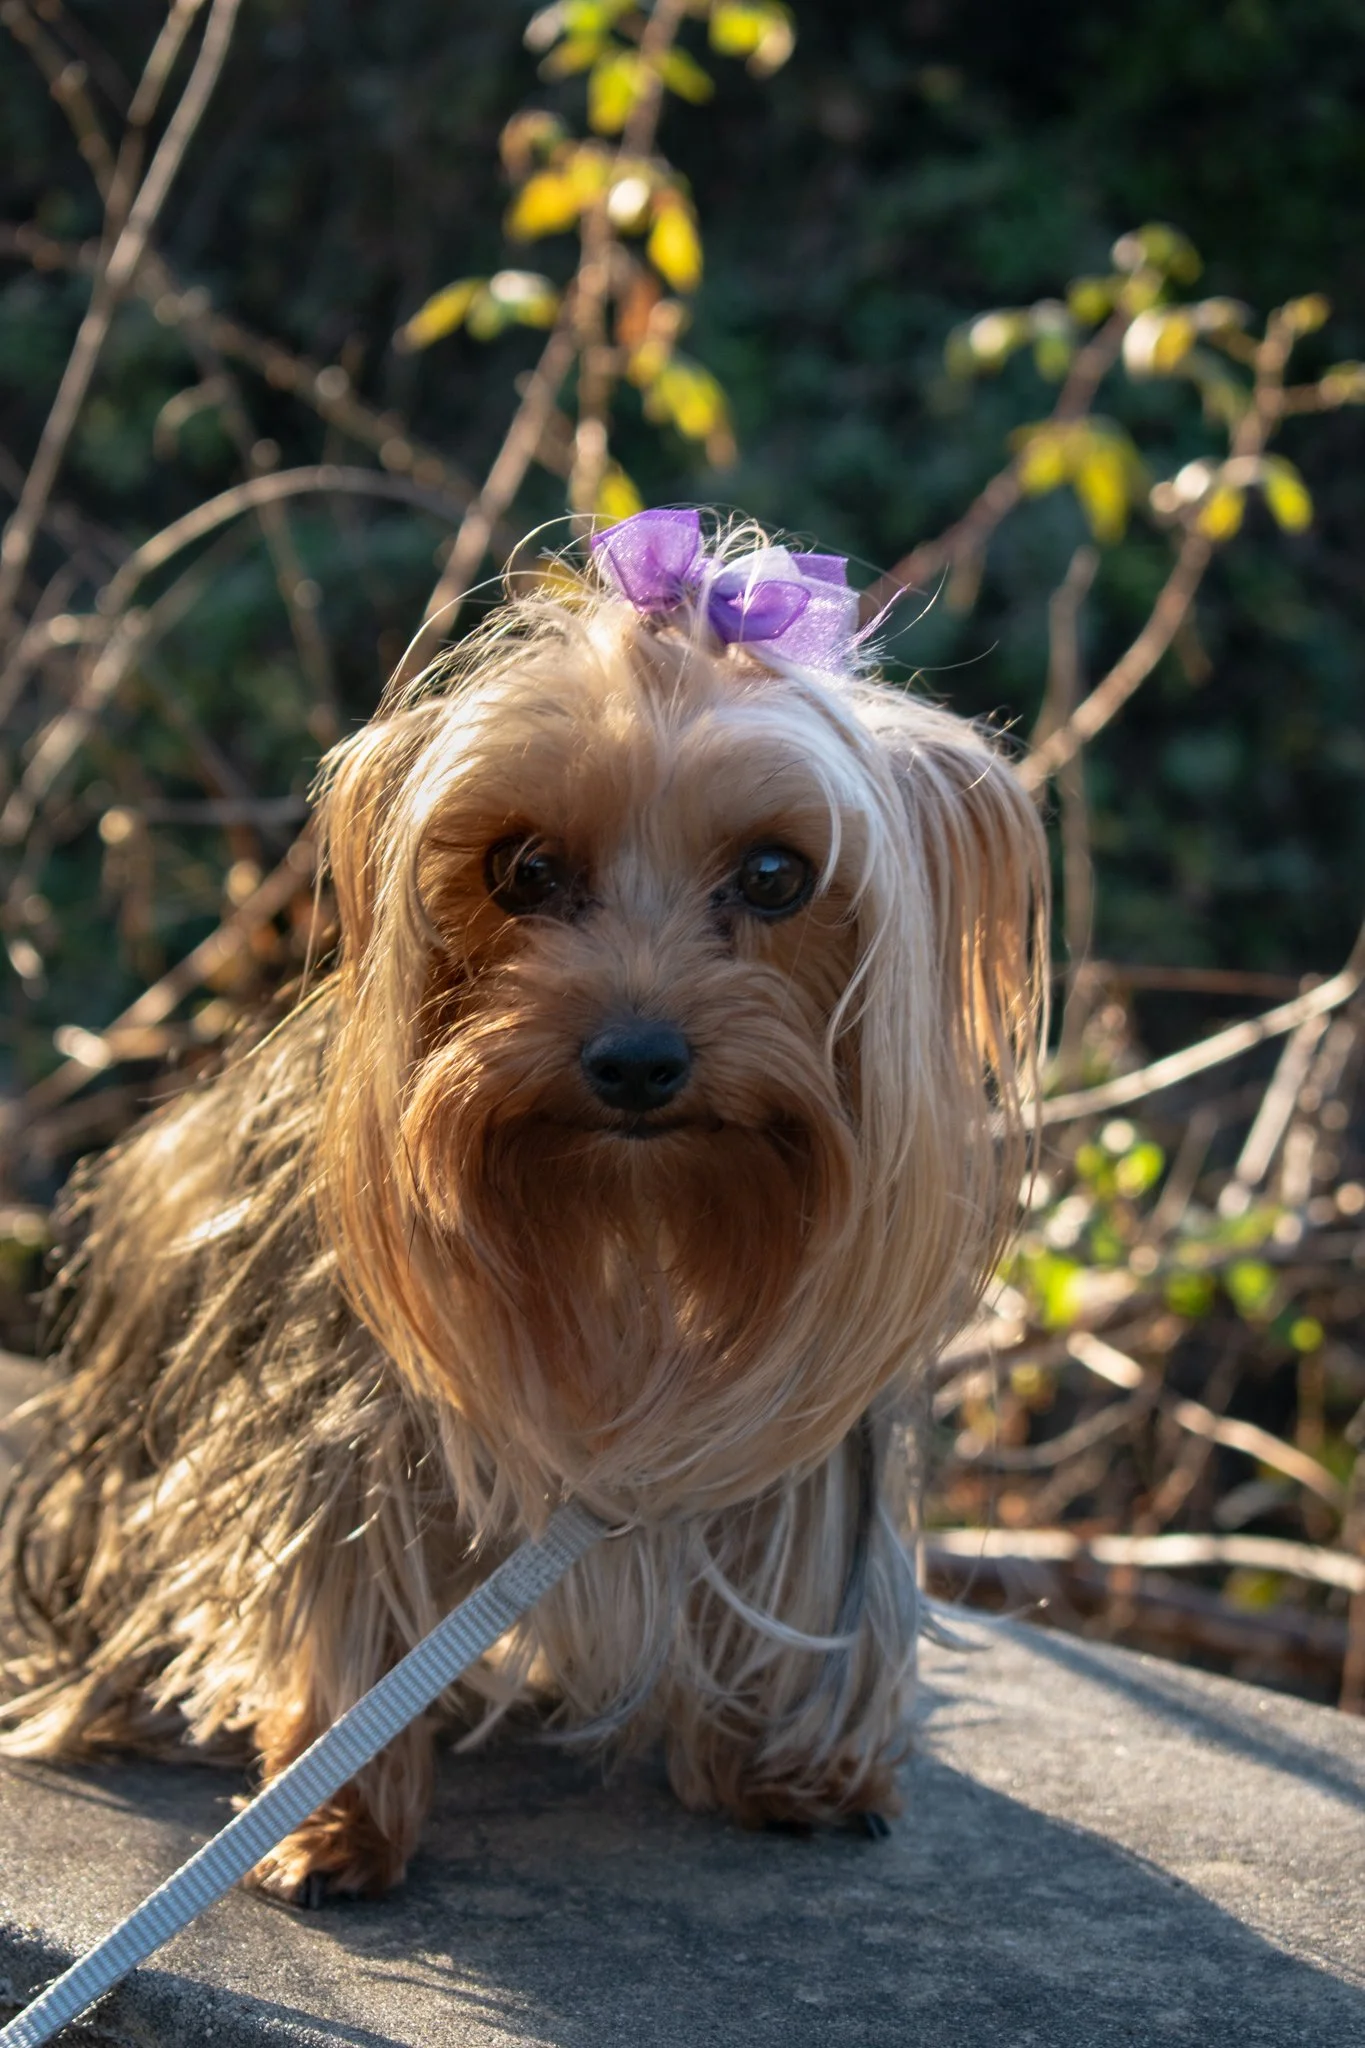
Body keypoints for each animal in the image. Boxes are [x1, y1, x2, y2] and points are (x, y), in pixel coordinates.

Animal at [0, 511, 1045, 1902]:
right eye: (526, 867)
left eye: (777, 874)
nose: (638, 1059)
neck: (626, 1211)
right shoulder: (349, 1436)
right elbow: (339, 1594)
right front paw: (337, 1818)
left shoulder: (802, 1441)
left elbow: (798, 1570)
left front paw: (792, 1767)